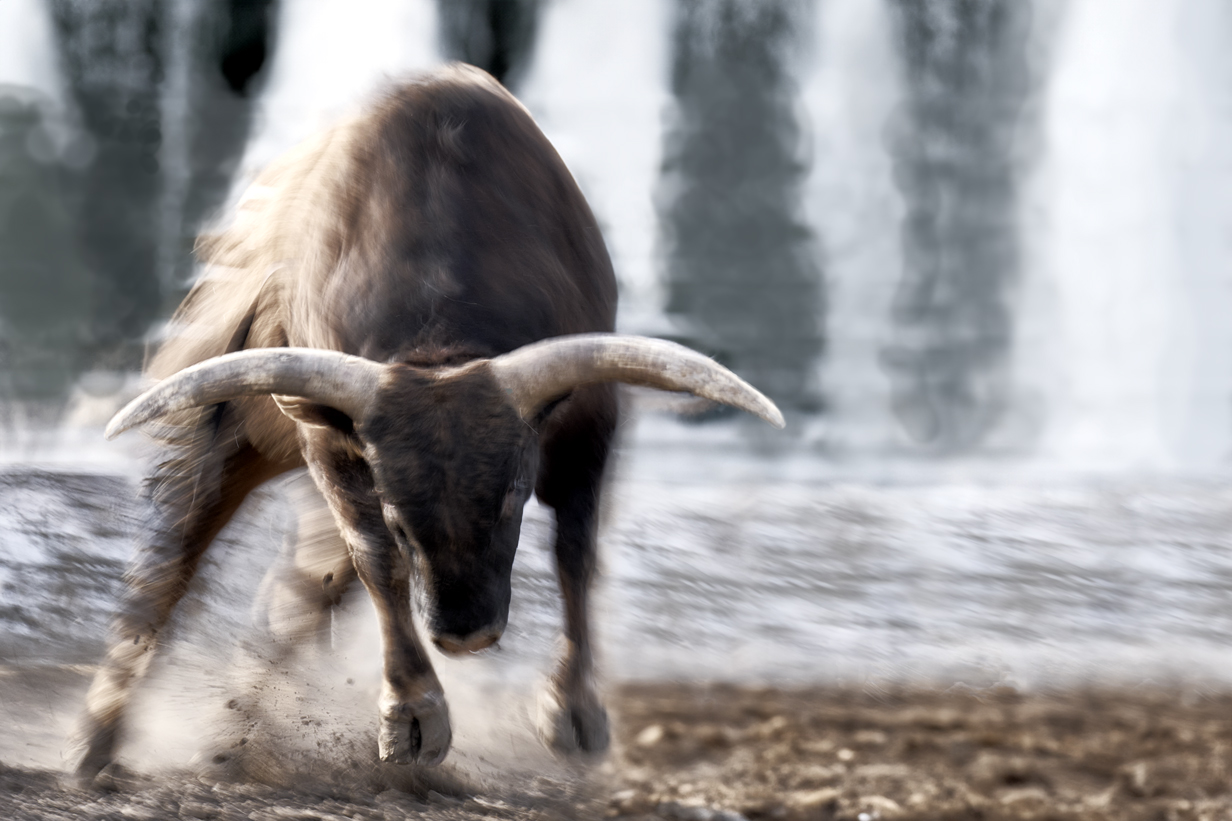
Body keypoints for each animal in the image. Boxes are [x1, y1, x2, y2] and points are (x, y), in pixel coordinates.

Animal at [76, 64, 783, 783]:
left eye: (511, 499)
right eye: (397, 515)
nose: (465, 633)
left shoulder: (587, 422)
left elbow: (575, 551)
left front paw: (574, 710)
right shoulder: (329, 442)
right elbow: (375, 562)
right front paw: (414, 715)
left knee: (298, 587)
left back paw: (231, 722)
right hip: (237, 426)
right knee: (179, 550)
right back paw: (100, 737)